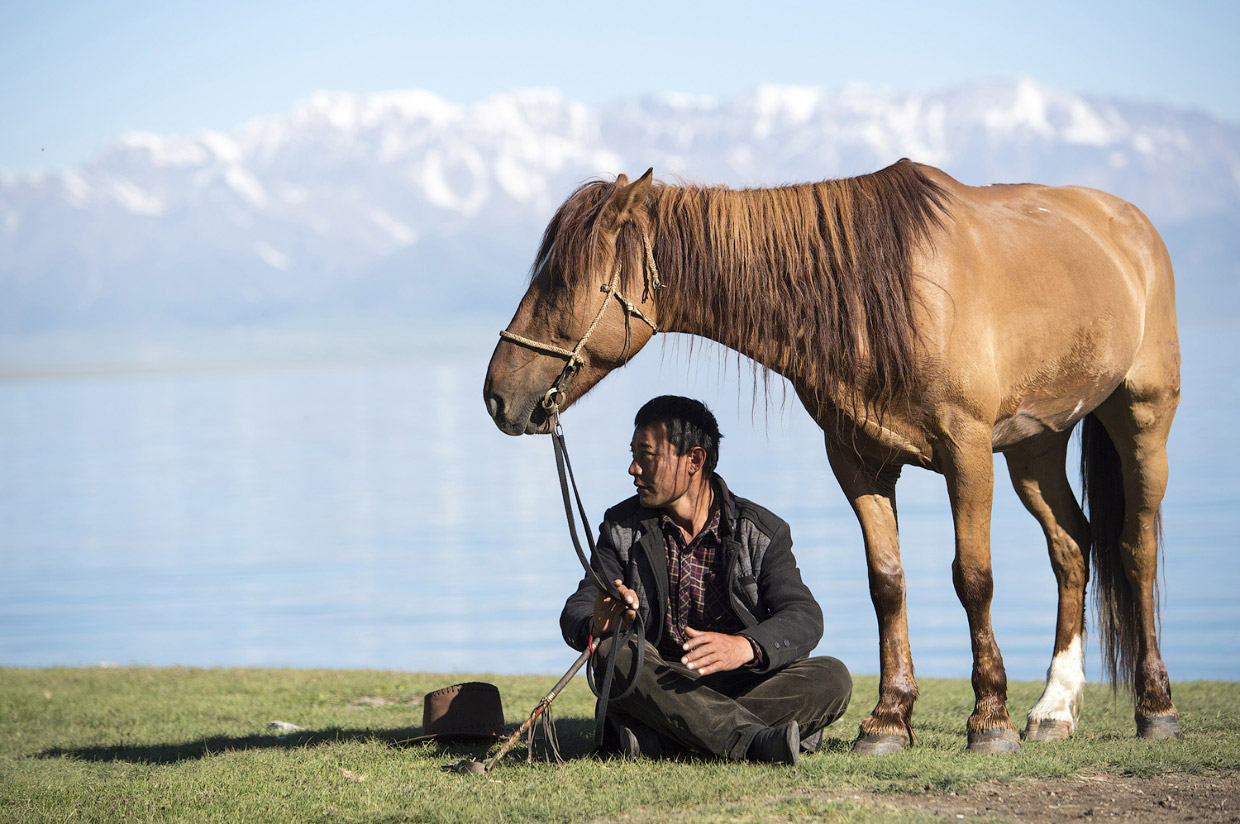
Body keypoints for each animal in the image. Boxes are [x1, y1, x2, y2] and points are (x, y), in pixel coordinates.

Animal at [476, 158, 1180, 753]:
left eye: (563, 279)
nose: (496, 396)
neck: (895, 292)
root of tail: (1131, 224)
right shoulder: (859, 461)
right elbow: (886, 583)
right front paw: (890, 719)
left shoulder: (968, 452)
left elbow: (973, 579)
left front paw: (989, 720)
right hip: (1036, 446)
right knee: (1072, 547)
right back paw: (1055, 708)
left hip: (1141, 418)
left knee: (1134, 549)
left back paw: (1154, 707)